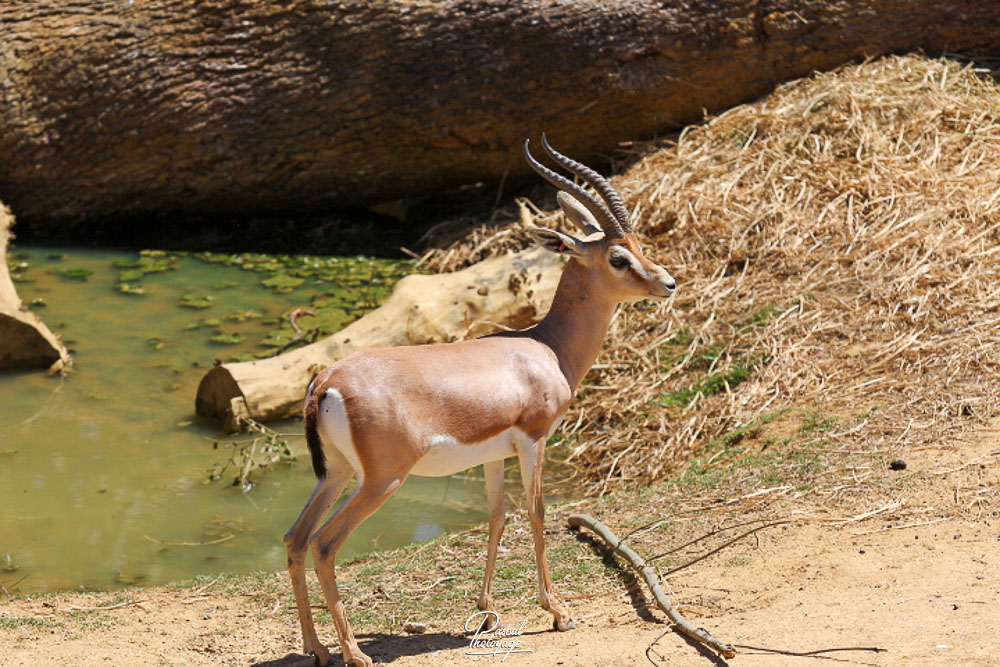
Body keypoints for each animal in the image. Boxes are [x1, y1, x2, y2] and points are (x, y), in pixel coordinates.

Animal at [283, 135, 677, 666]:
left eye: (639, 247)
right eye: (618, 258)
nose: (668, 283)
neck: (545, 348)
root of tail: (329, 378)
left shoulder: (494, 455)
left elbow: (496, 517)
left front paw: (488, 614)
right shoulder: (534, 439)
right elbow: (536, 512)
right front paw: (559, 612)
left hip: (337, 473)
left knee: (296, 538)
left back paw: (317, 647)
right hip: (381, 481)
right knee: (325, 545)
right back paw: (355, 653)